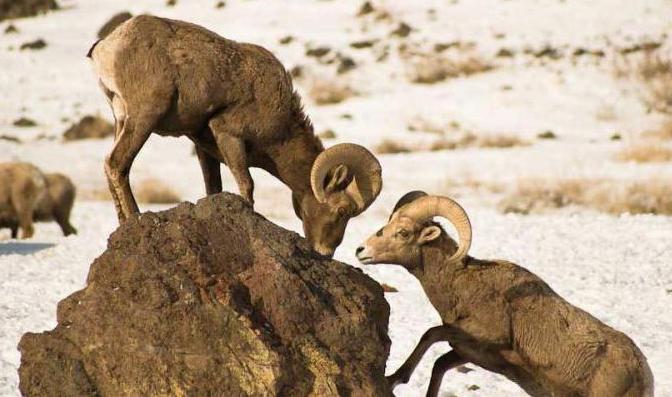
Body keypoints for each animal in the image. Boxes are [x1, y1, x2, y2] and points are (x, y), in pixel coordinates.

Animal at [88, 15, 380, 255]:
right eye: (343, 211)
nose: (325, 252)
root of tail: (107, 47)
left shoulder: (204, 148)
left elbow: (213, 189)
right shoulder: (230, 136)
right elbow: (246, 187)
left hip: (121, 119)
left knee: (109, 165)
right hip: (144, 117)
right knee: (117, 163)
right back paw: (135, 218)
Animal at [356, 190, 656, 394]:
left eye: (403, 233)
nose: (361, 250)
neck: (462, 285)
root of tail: (642, 372)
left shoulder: (484, 336)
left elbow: (431, 334)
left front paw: (394, 378)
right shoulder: (468, 352)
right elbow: (439, 362)